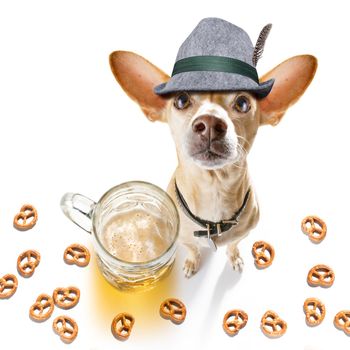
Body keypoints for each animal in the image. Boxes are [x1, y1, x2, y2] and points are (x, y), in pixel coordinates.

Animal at [109, 18, 318, 276]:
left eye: (243, 103)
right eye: (181, 100)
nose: (209, 123)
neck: (214, 189)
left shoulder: (243, 234)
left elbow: (234, 244)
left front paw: (234, 257)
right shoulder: (183, 238)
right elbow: (192, 248)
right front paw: (191, 262)